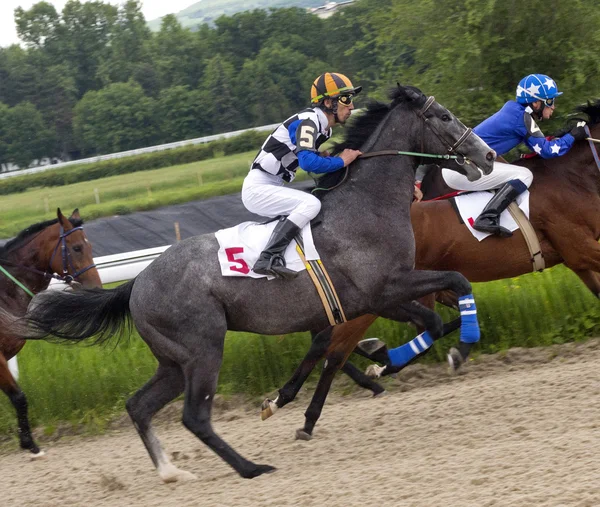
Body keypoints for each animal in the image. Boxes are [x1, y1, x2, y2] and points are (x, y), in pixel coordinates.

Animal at [17, 85, 492, 482]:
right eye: (445, 116)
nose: (487, 156)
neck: (366, 206)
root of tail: (136, 284)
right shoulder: (384, 289)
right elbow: (449, 294)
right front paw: (422, 355)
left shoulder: (368, 301)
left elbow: (424, 319)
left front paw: (378, 361)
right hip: (203, 349)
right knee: (194, 416)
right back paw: (250, 468)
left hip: (173, 361)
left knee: (139, 405)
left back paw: (172, 472)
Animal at [264, 100, 600, 440]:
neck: (571, 177)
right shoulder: (581, 249)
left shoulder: (579, 260)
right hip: (374, 299)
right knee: (333, 350)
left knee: (333, 346)